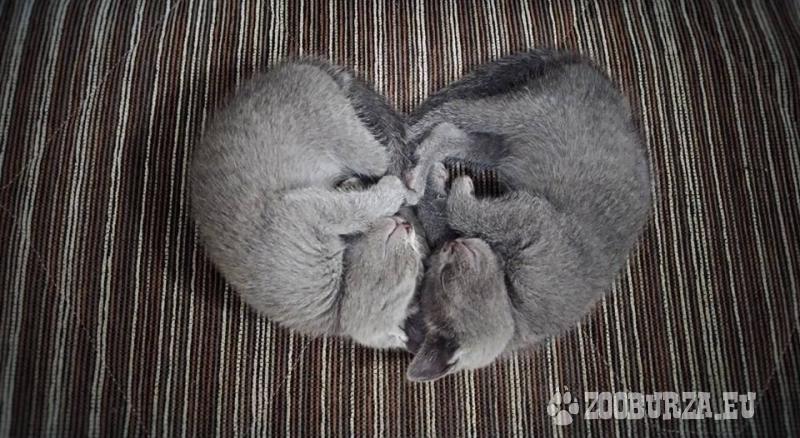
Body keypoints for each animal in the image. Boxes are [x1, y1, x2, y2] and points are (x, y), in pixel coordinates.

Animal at [191, 59, 425, 350]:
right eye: (414, 260)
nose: (407, 226)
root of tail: (296, 65)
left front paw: (355, 187)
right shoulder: (305, 210)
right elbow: (357, 208)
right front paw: (388, 191)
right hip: (355, 143)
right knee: (388, 159)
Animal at [404, 49, 652, 380]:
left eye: (441, 273)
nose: (449, 247)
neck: (516, 307)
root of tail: (591, 69)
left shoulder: (531, 219)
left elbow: (455, 212)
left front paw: (449, 186)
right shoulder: (531, 217)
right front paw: (446, 184)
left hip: (510, 132)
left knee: (450, 126)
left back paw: (419, 156)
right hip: (517, 120)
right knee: (449, 118)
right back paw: (412, 144)